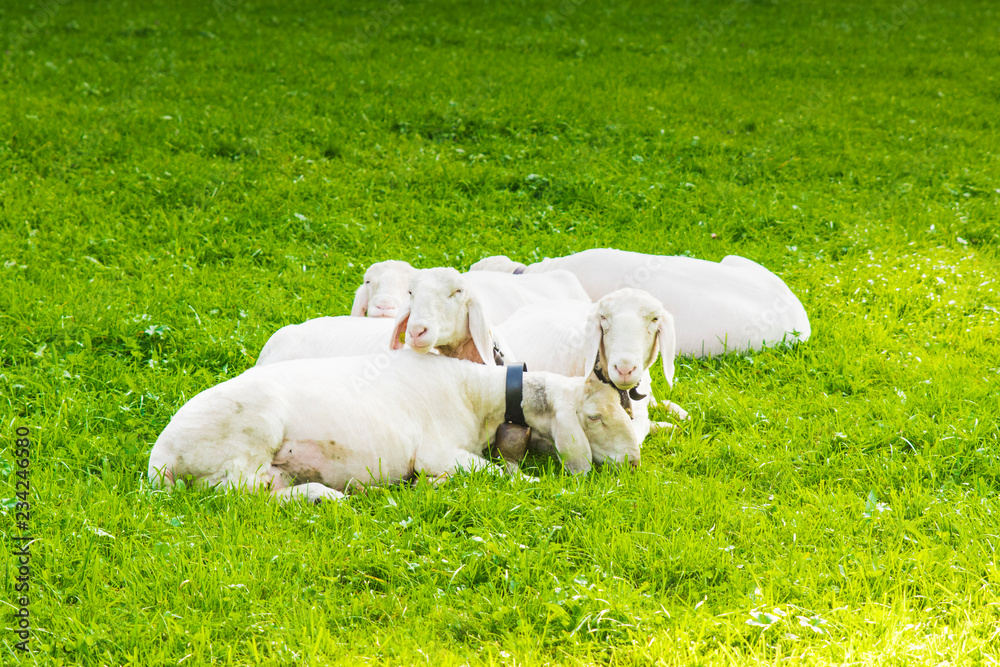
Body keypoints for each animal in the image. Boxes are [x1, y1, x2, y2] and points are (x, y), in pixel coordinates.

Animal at [147, 351, 641, 502]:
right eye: (594, 417)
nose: (634, 463)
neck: (474, 394)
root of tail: (160, 460)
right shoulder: (438, 451)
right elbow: (503, 476)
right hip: (247, 438)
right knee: (236, 494)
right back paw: (324, 495)